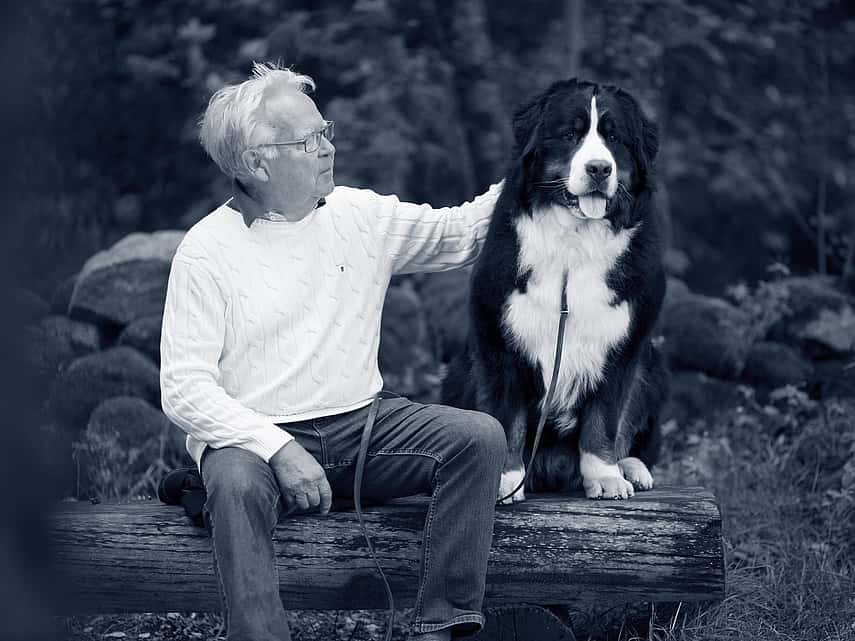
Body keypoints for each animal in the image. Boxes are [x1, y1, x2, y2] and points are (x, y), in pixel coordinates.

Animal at [444, 79, 672, 500]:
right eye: (570, 135)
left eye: (614, 138)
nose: (599, 168)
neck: (574, 243)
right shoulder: (500, 343)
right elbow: (507, 419)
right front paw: (506, 480)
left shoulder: (622, 349)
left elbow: (605, 420)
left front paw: (605, 477)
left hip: (654, 368)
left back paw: (632, 469)